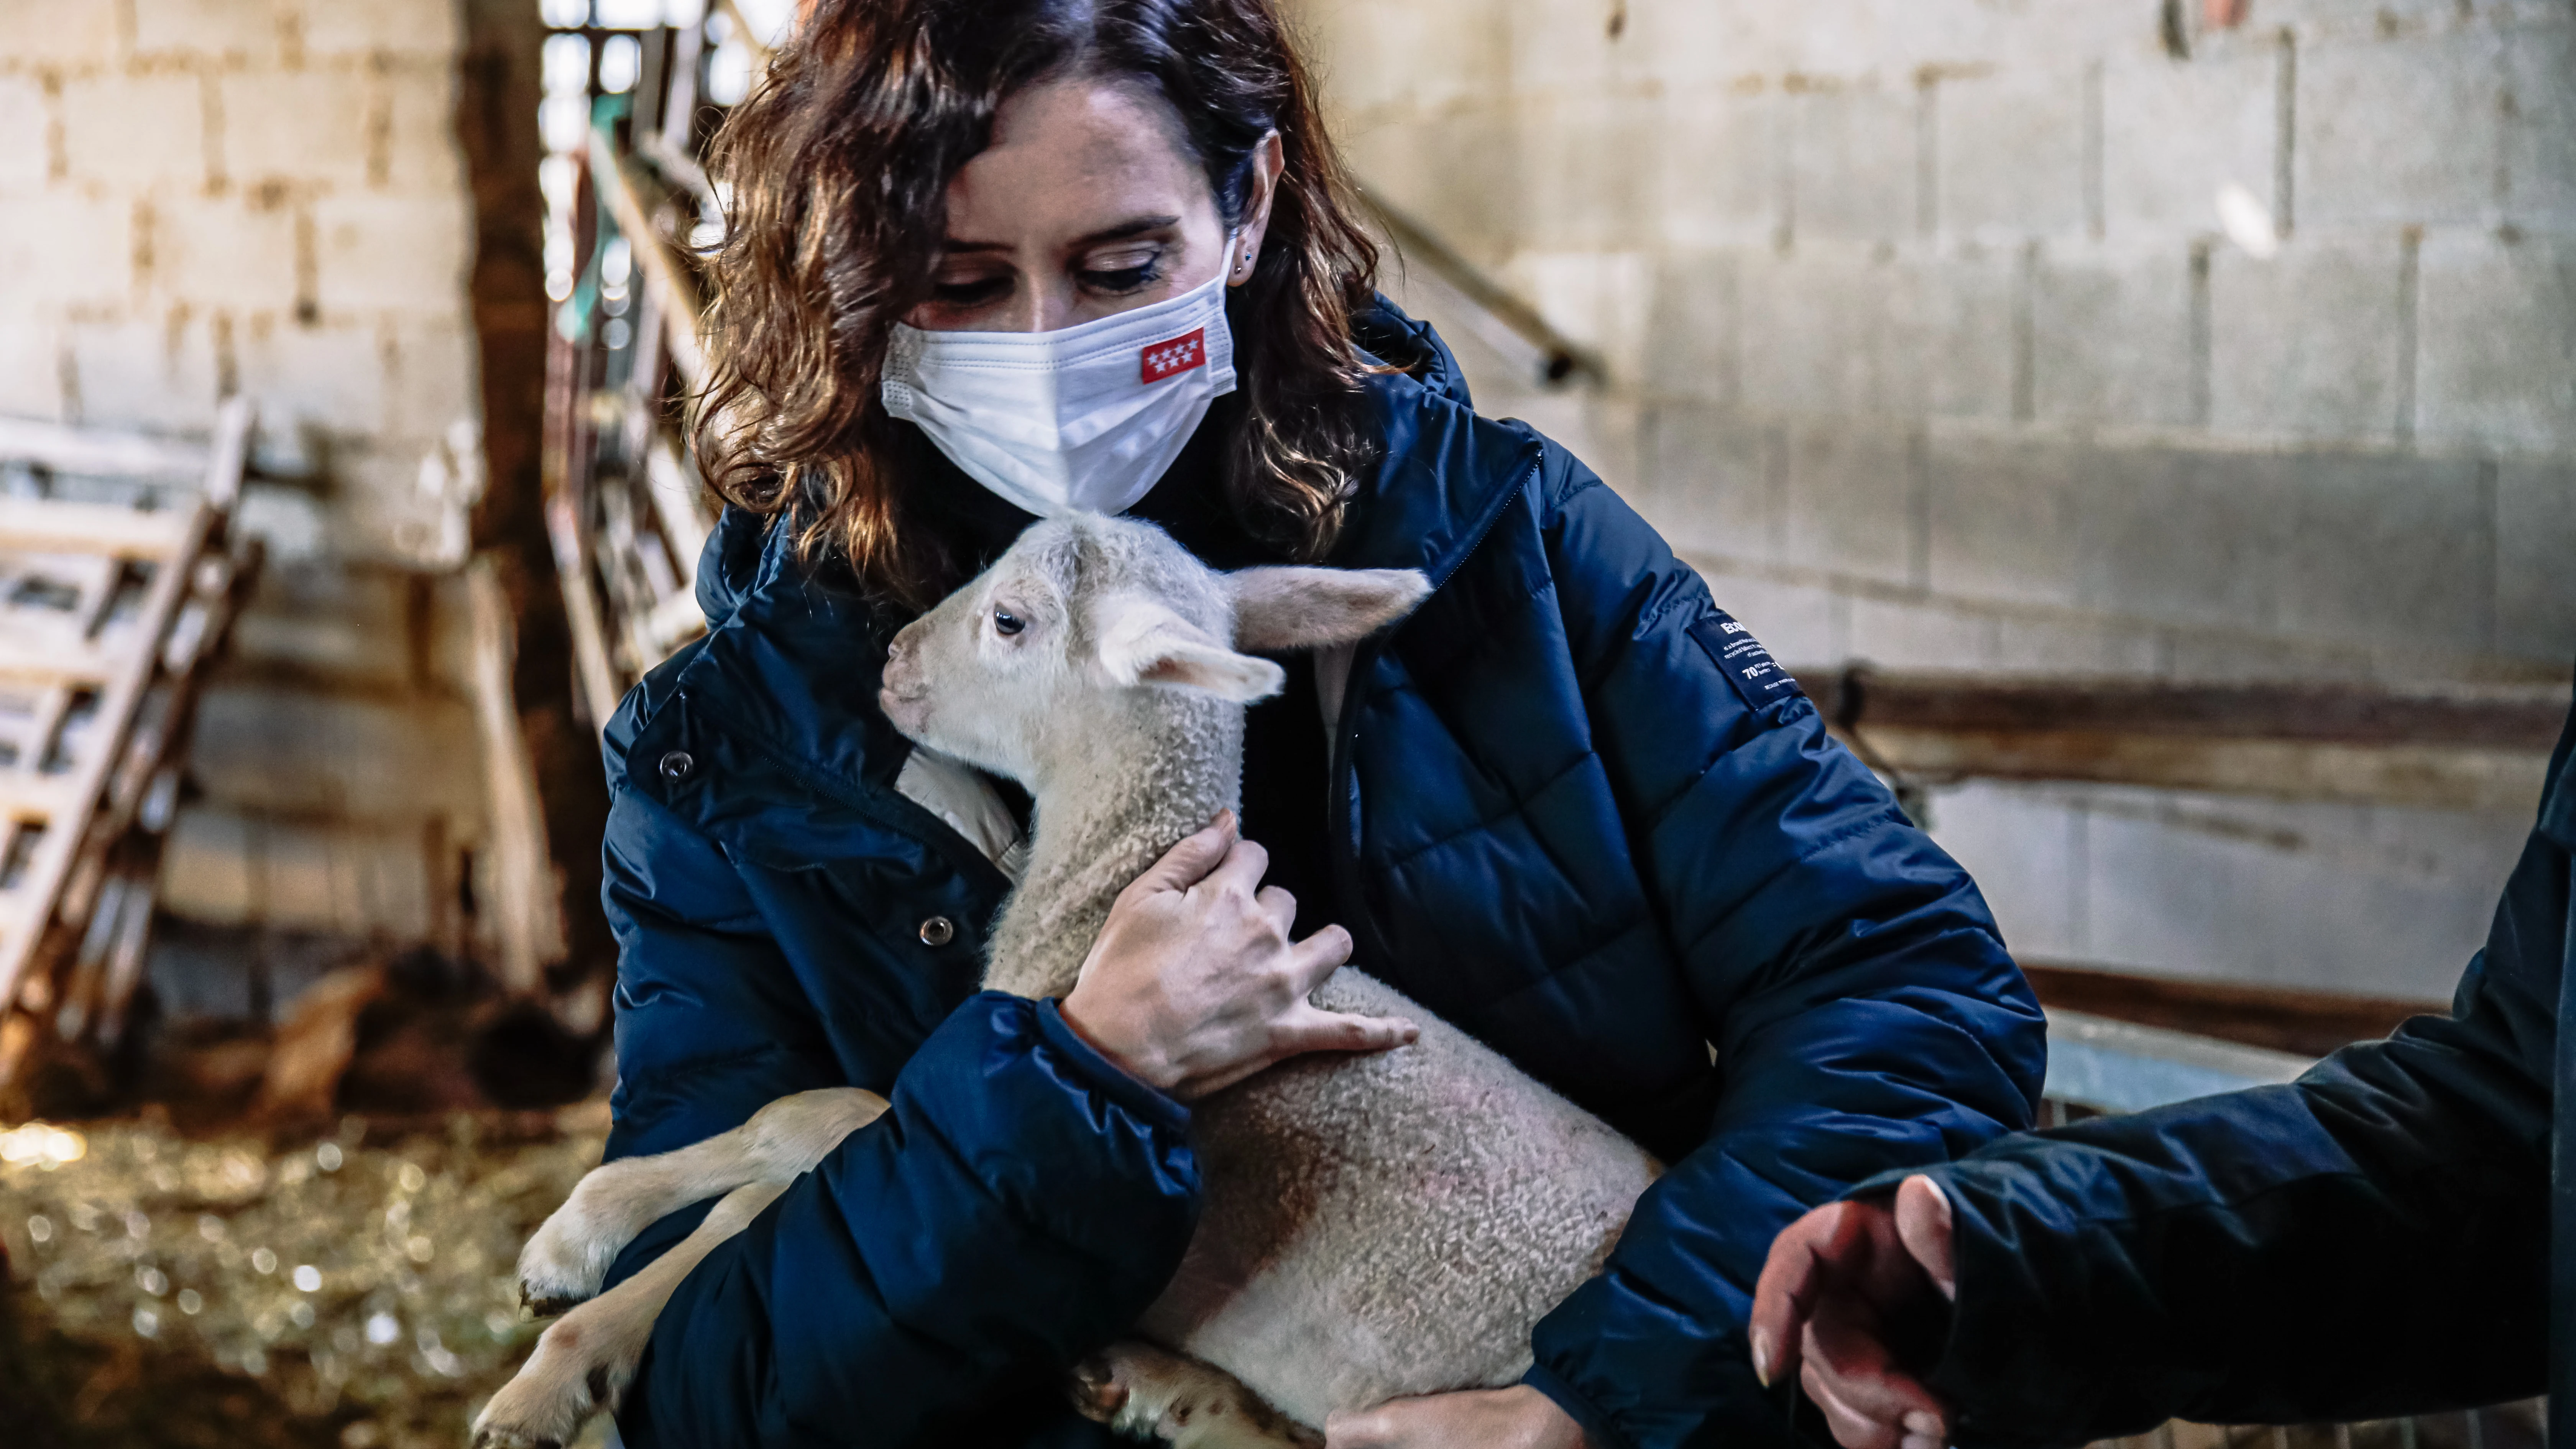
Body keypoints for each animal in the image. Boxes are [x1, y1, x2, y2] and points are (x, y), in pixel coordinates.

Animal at [474, 513, 1659, 1433]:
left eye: (1011, 620)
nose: (893, 661)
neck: (1103, 899)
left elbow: (787, 1173)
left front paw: (559, 1357)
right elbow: (798, 1117)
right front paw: (578, 1237)